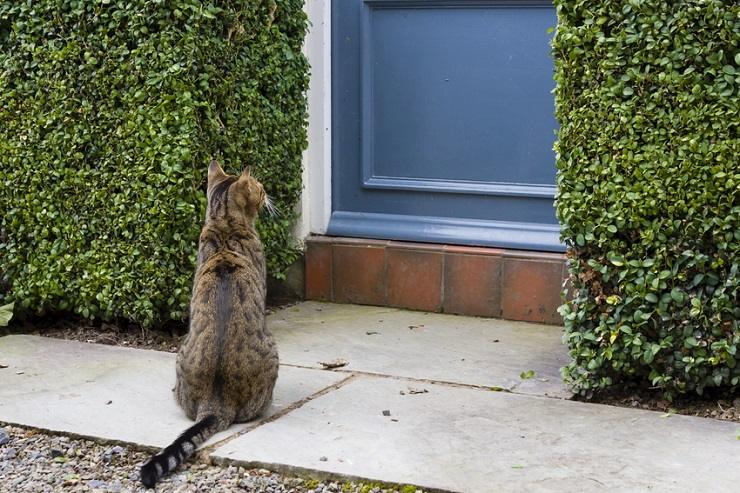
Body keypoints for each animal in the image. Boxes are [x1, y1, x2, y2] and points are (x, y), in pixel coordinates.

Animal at [140, 160, 278, 486]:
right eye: (260, 188)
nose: (268, 193)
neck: (224, 225)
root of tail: (215, 403)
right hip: (273, 350)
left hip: (181, 349)